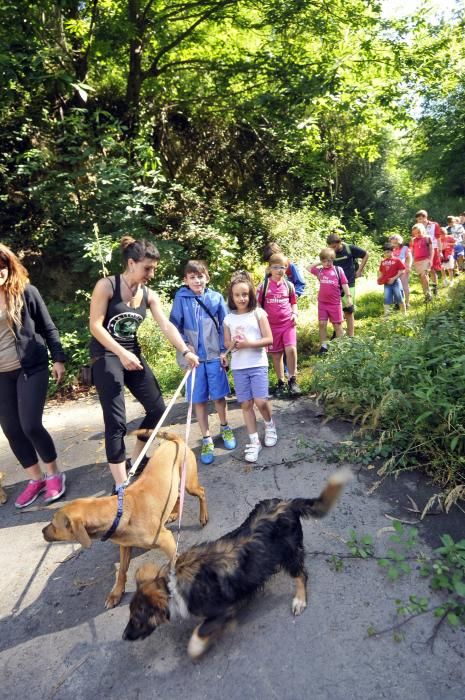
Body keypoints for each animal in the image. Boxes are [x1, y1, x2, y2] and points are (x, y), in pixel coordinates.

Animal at [41, 426, 208, 608]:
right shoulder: (125, 546)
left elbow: (174, 561)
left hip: (189, 484)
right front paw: (116, 593)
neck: (118, 512)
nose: (42, 531)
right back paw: (173, 513)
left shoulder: (166, 540)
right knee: (177, 496)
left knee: (201, 492)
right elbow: (121, 570)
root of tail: (175, 441)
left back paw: (203, 517)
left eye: (53, 524)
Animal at [121, 468, 350, 660]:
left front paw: (196, 648)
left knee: (301, 575)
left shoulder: (224, 610)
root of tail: (287, 504)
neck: (172, 586)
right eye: (131, 615)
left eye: (137, 618)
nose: (124, 637)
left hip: (289, 553)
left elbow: (199, 632)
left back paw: (299, 600)